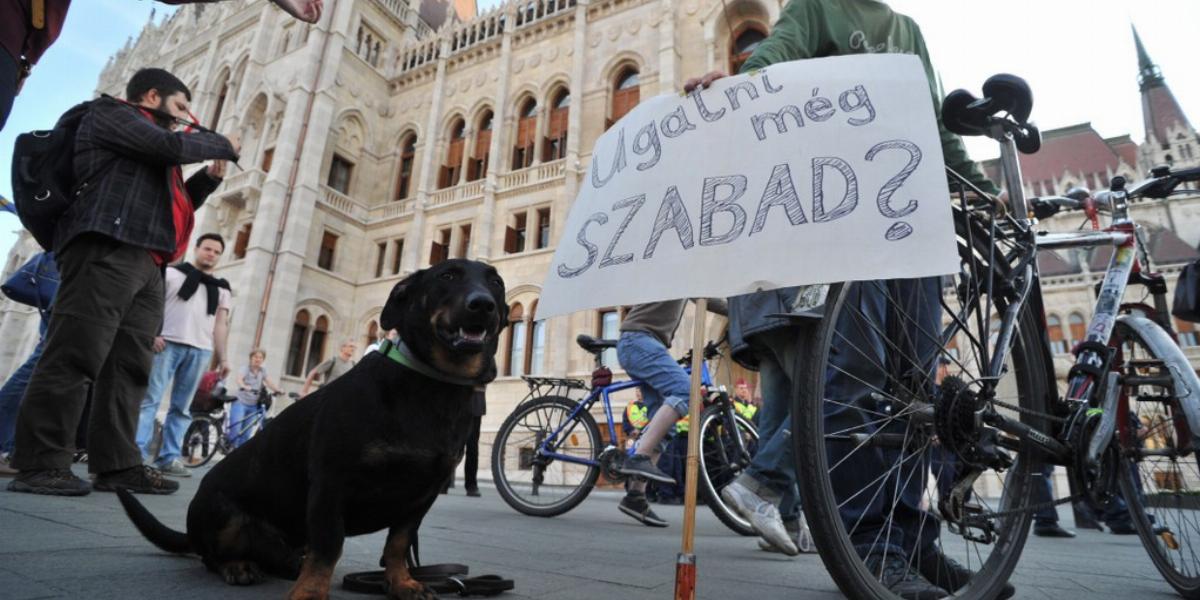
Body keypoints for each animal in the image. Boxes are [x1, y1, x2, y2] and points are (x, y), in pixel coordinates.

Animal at [121, 259, 511, 600]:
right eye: (447, 275)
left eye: (495, 281)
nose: (483, 305)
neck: (429, 385)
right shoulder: (331, 485)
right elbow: (329, 547)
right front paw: (311, 592)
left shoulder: (421, 497)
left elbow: (398, 544)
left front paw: (402, 583)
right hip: (221, 513)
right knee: (210, 557)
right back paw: (238, 566)